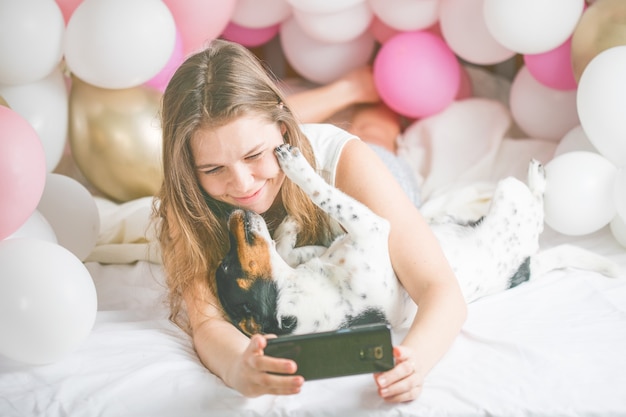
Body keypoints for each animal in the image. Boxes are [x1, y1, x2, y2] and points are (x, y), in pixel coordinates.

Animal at [213, 143, 616, 334]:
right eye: (227, 266)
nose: (233, 213)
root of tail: (529, 266)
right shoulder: (373, 225)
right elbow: (325, 193)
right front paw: (295, 167)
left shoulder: (334, 246)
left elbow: (290, 249)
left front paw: (286, 231)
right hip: (510, 195)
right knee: (538, 204)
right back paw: (537, 176)